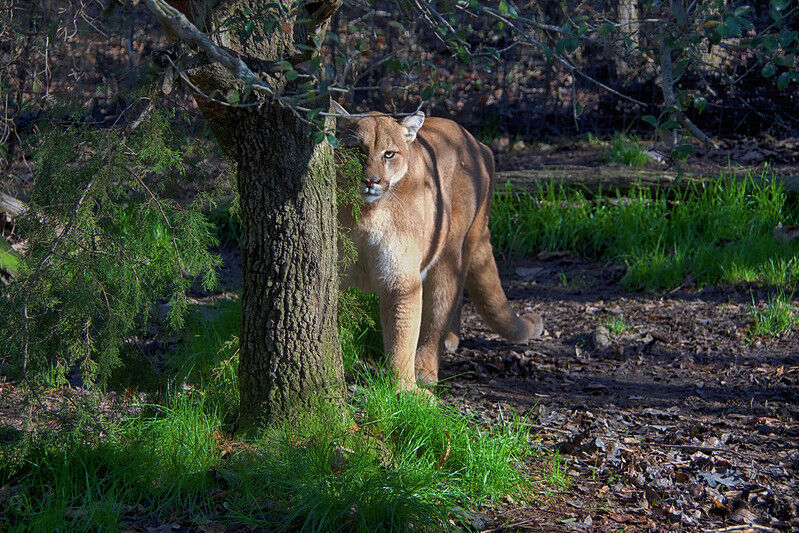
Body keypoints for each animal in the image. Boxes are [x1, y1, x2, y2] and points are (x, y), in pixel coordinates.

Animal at [332, 101, 544, 390]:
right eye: (356, 149)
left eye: (389, 154)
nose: (370, 180)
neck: (366, 214)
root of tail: (479, 144)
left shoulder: (400, 278)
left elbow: (402, 337)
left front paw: (404, 388)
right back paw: (450, 340)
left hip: (449, 249)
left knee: (441, 305)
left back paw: (426, 367)